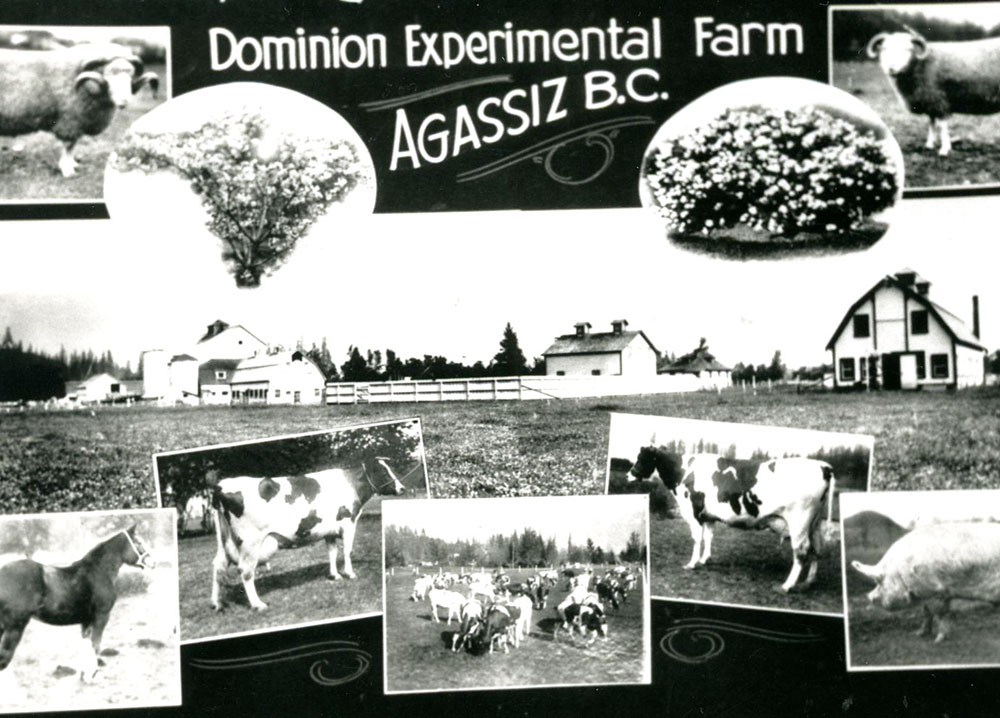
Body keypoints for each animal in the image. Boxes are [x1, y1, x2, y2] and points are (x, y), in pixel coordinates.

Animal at [0, 43, 158, 178]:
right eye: (107, 75)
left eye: (130, 76)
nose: (124, 101)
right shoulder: (70, 121)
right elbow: (69, 145)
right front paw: (68, 170)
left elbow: (74, 145)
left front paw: (73, 164)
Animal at [0, 524, 153, 684]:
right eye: (139, 542)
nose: (153, 562)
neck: (98, 571)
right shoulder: (101, 617)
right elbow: (95, 645)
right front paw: (92, 675)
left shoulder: (86, 621)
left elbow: (86, 646)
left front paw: (84, 675)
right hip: (14, 627)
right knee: (4, 657)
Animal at [211, 458, 406, 612]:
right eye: (383, 471)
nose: (402, 488)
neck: (351, 484)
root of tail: (222, 485)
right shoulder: (348, 522)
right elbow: (347, 550)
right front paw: (350, 574)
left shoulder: (330, 530)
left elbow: (332, 552)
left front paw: (335, 575)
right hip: (250, 542)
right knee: (245, 571)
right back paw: (258, 604)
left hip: (224, 540)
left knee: (218, 566)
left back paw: (216, 604)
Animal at [628, 450, 832, 596]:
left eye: (642, 458)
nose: (629, 475)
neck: (684, 472)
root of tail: (824, 466)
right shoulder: (708, 516)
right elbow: (708, 536)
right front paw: (705, 559)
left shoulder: (693, 513)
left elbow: (697, 538)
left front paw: (692, 563)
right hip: (813, 523)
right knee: (816, 549)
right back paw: (808, 582)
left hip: (799, 521)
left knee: (801, 551)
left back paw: (786, 586)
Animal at [864, 30, 1000, 156]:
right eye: (884, 49)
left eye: (908, 49)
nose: (891, 68)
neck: (920, 64)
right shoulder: (931, 101)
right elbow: (931, 124)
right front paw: (929, 144)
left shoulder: (939, 100)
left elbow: (941, 126)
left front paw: (944, 149)